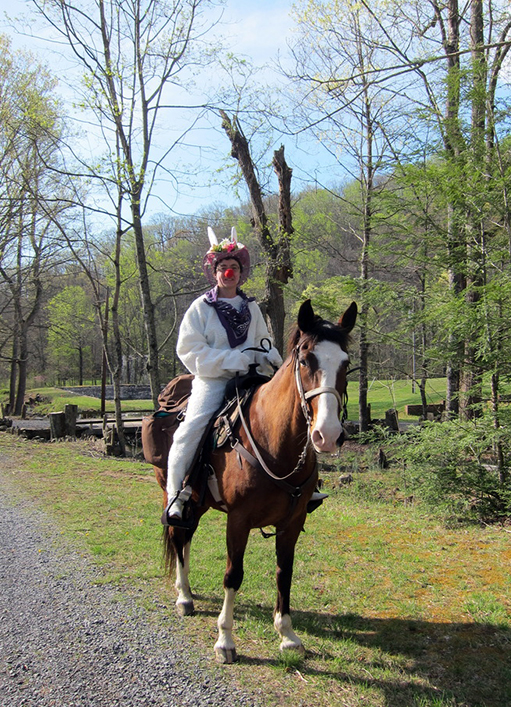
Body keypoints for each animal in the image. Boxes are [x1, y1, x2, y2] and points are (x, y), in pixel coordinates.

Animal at [162, 298, 358, 664]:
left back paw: (187, 590)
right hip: (178, 495)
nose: (328, 435)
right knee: (178, 534)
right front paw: (225, 640)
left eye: (346, 362)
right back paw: (184, 597)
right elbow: (233, 575)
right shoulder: (238, 521)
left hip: (199, 501)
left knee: (187, 536)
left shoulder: (292, 522)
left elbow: (285, 572)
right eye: (306, 359)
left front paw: (288, 636)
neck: (272, 443)